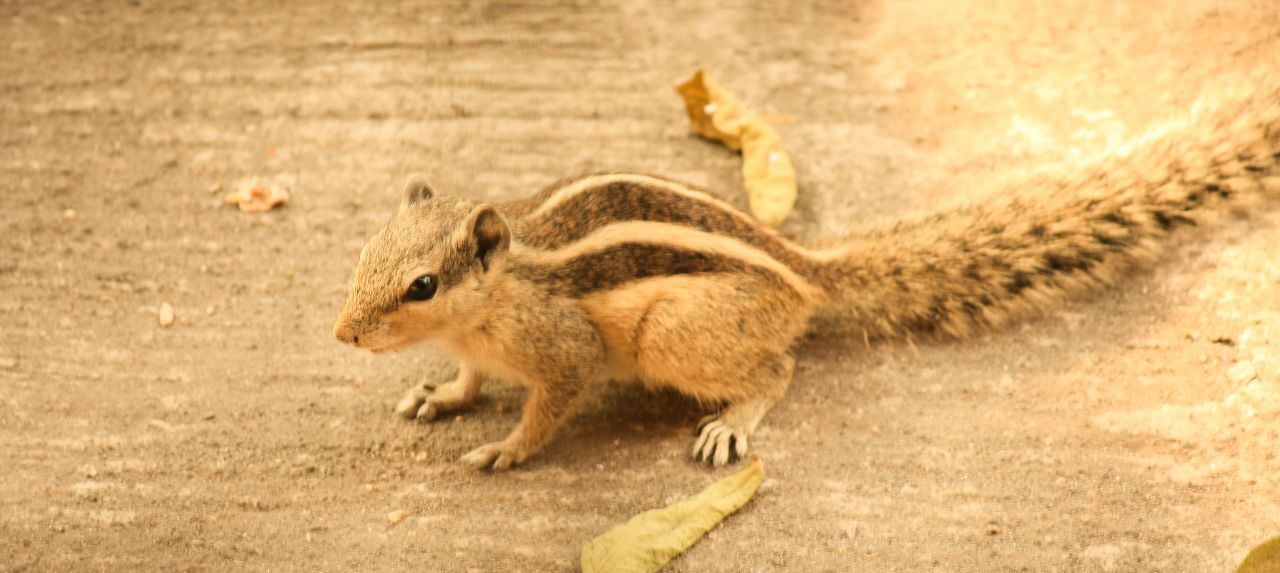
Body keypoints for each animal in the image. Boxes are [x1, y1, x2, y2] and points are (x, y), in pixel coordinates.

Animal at [332, 70, 1280, 470]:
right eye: (366, 253)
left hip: (679, 335)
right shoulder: (477, 347)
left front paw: (504, 448)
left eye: (422, 284)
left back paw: (732, 421)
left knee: (778, 368)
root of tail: (804, 271)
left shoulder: (561, 350)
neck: (495, 295)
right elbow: (464, 377)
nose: (343, 334)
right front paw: (440, 395)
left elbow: (547, 406)